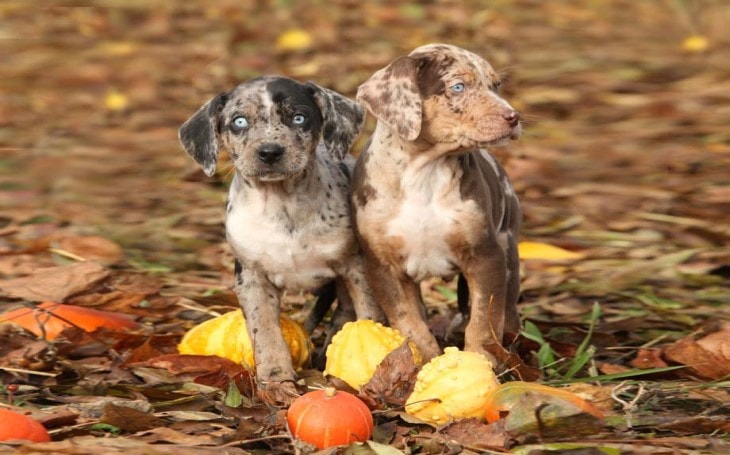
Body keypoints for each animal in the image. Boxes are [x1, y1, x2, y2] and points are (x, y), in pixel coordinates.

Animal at [179, 77, 384, 402]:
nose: (270, 152)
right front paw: (276, 379)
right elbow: (264, 331)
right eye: (239, 122)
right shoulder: (251, 277)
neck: (282, 205)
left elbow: (368, 314)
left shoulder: (357, 266)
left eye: (299, 118)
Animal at [354, 44, 520, 366]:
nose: (514, 117)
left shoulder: (486, 255)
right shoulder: (382, 266)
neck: (425, 174)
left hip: (508, 246)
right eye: (458, 87)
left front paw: (480, 361)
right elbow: (408, 323)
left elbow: (484, 319)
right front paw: (423, 362)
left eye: (496, 85)